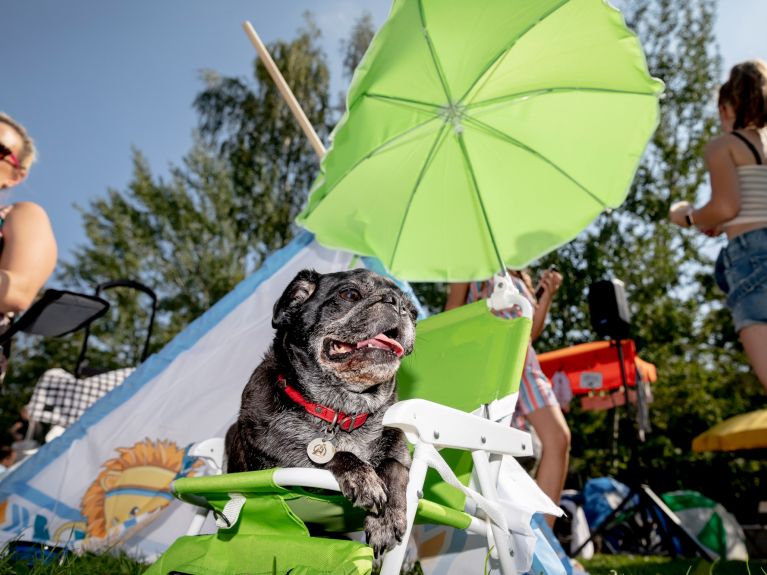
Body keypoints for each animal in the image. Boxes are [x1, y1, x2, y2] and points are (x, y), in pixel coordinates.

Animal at [225, 268, 416, 556]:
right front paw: (362, 476)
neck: (341, 412)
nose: (399, 304)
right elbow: (328, 454)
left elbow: (392, 467)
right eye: (349, 294)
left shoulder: (399, 457)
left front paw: (385, 519)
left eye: (413, 311)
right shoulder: (289, 473)